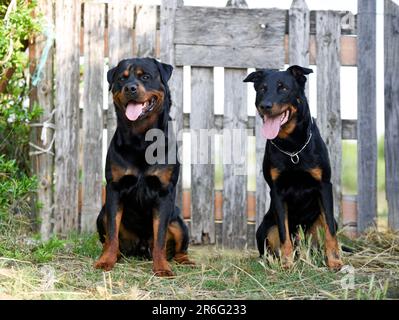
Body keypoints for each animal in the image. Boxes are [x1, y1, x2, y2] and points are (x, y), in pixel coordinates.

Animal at [94, 57, 194, 276]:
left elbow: (160, 236)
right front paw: (106, 261)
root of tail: (140, 248)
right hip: (101, 215)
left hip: (179, 222)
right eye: (121, 79)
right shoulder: (115, 188)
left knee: (179, 246)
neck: (141, 140)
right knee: (109, 236)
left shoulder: (164, 192)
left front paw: (162, 267)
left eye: (146, 76)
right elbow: (112, 232)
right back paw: (115, 254)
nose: (130, 88)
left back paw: (185, 260)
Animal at [244, 65, 344, 270]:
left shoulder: (324, 185)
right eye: (262, 89)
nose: (265, 105)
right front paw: (287, 264)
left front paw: (334, 261)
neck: (292, 147)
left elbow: (330, 230)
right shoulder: (277, 191)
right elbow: (283, 232)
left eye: (283, 88)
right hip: (265, 228)